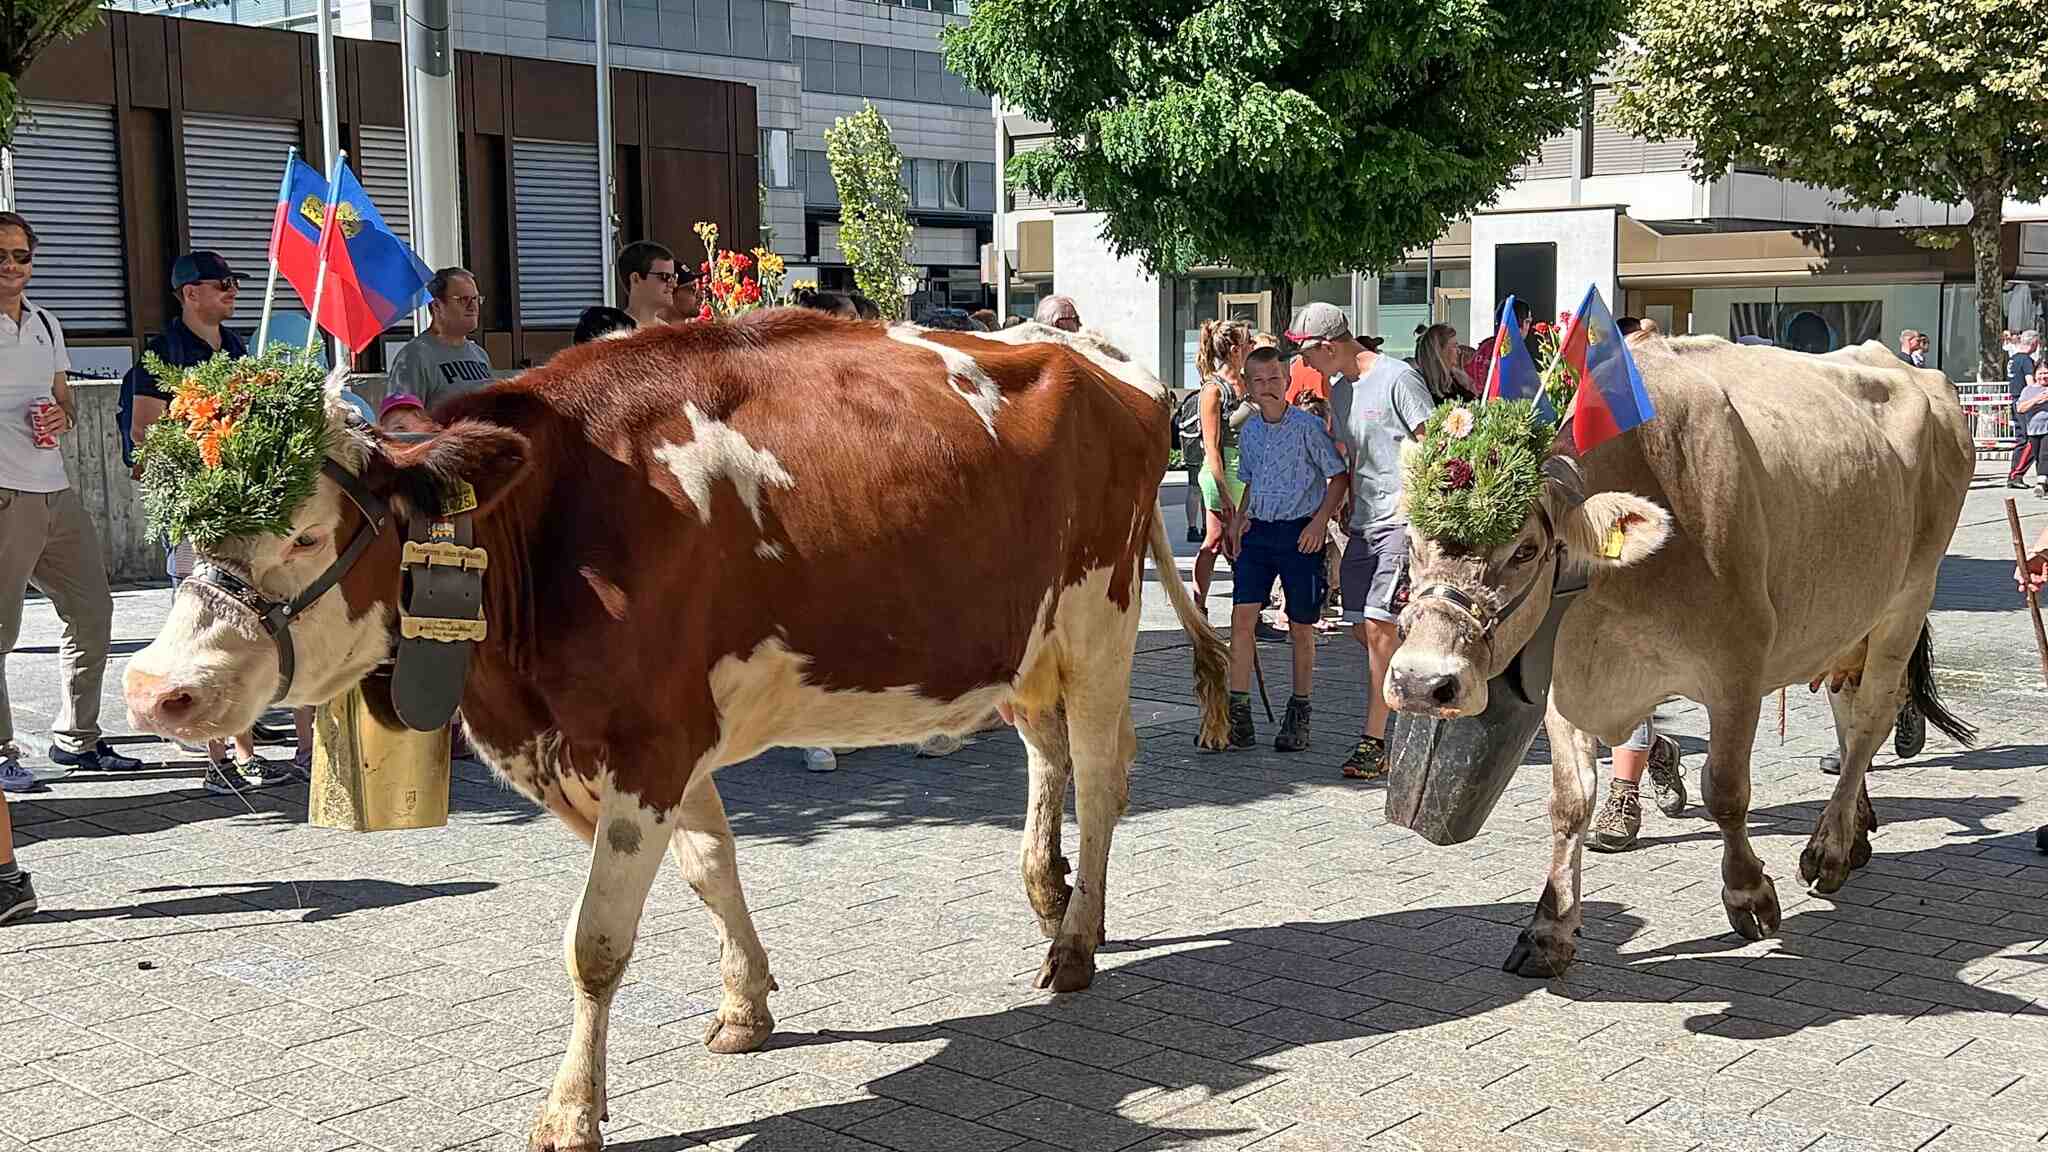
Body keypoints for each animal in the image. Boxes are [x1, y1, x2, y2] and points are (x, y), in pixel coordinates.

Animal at [121, 312, 1231, 1151]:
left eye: (308, 534)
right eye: (185, 530)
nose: (150, 691)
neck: (551, 531)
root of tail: (1094, 353)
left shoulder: (646, 743)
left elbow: (596, 945)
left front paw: (571, 1113)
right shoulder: (644, 743)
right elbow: (709, 867)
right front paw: (746, 1005)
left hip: (1099, 614)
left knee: (1101, 773)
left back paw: (1076, 941)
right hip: (1020, 641)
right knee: (1048, 754)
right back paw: (1050, 898)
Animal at [1383, 336, 1975, 978]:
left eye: (1527, 549)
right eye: (1412, 537)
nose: (1421, 682)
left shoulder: (1737, 671)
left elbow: (1727, 790)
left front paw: (1749, 895)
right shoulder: (1565, 686)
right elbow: (1569, 802)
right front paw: (1548, 929)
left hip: (1908, 597)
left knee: (1871, 719)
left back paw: (1831, 849)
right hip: (1848, 617)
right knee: (1847, 711)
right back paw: (1857, 828)